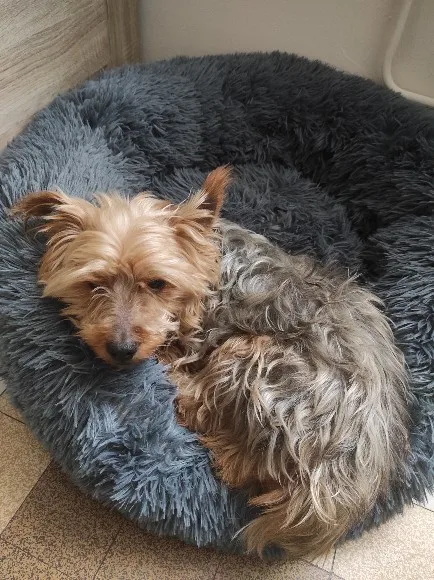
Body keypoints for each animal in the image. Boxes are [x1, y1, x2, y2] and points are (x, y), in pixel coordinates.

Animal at [13, 167, 409, 558]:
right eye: (93, 283)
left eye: (158, 283)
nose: (122, 349)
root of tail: (330, 481)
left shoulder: (195, 336)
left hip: (251, 356)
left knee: (207, 423)